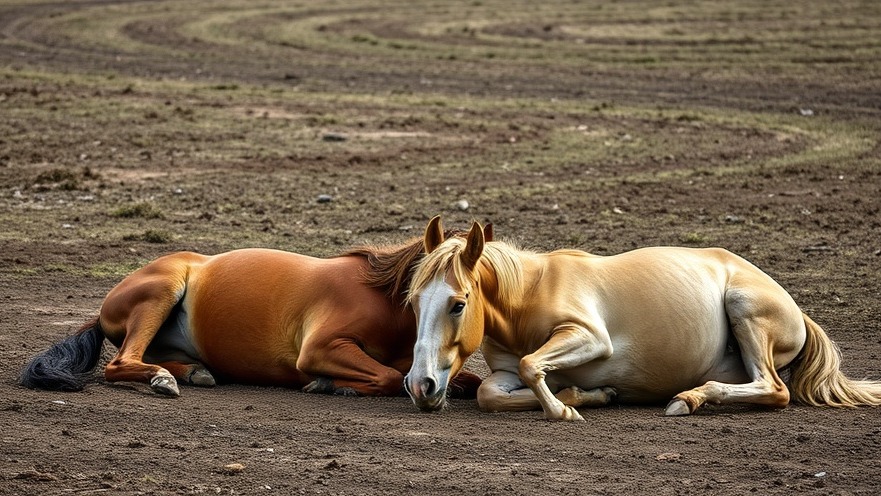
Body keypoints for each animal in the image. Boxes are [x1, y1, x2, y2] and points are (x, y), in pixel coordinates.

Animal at [20, 235, 482, 398]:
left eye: (461, 301)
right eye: (421, 298)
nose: (425, 386)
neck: (383, 297)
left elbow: (468, 380)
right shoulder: (320, 347)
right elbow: (386, 376)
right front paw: (328, 384)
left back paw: (193, 373)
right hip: (160, 293)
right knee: (119, 364)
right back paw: (164, 381)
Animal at [403, 216, 881, 420]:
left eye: (458, 303)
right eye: (414, 302)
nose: (420, 385)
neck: (526, 297)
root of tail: (797, 310)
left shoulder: (589, 336)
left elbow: (531, 364)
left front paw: (564, 409)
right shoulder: (502, 374)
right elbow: (491, 392)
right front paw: (587, 396)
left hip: (745, 309)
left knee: (776, 390)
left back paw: (688, 400)